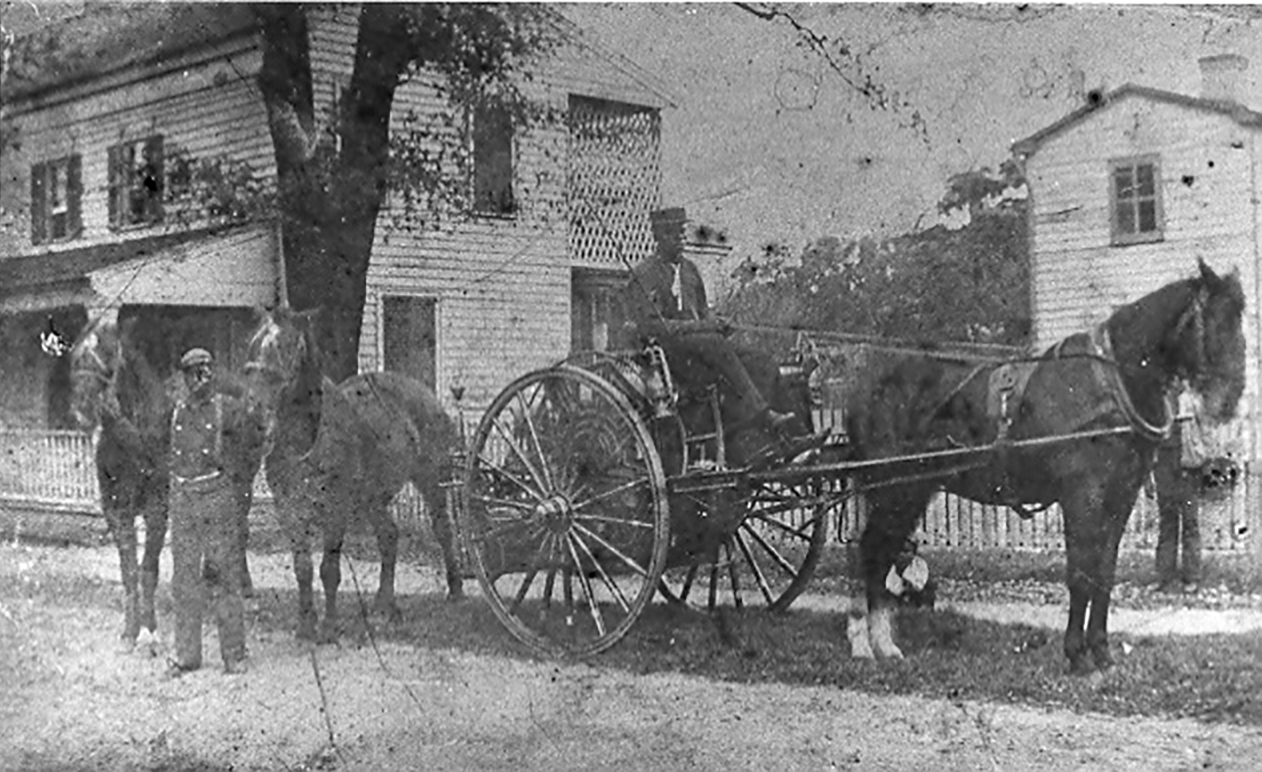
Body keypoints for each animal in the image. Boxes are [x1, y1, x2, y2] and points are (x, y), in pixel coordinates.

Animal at [69, 314, 266, 645]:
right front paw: (130, 631)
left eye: (108, 351)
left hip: (243, 486)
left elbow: (148, 569)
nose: (81, 410)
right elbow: (128, 571)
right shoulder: (116, 511)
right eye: (75, 353)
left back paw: (242, 587)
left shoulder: (157, 510)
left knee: (239, 531)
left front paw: (149, 628)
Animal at [241, 304, 464, 643]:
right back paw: (385, 605)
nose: (254, 415)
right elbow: (302, 568)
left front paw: (329, 627)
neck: (309, 436)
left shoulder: (336, 508)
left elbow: (328, 570)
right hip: (371, 499)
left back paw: (455, 590)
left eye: (283, 347)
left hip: (432, 480)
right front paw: (305, 625)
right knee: (389, 535)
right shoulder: (289, 509)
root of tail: (422, 392)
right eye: (254, 344)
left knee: (443, 529)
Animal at [843, 262, 1246, 671]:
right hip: (895, 489)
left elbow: (1104, 573)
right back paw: (874, 643)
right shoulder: (1081, 496)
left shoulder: (1121, 497)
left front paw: (1101, 651)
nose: (1229, 403)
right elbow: (1080, 573)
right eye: (1211, 322)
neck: (1109, 385)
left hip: (913, 489)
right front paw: (1077, 654)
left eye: (1239, 322)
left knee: (880, 550)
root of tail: (864, 389)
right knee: (874, 549)